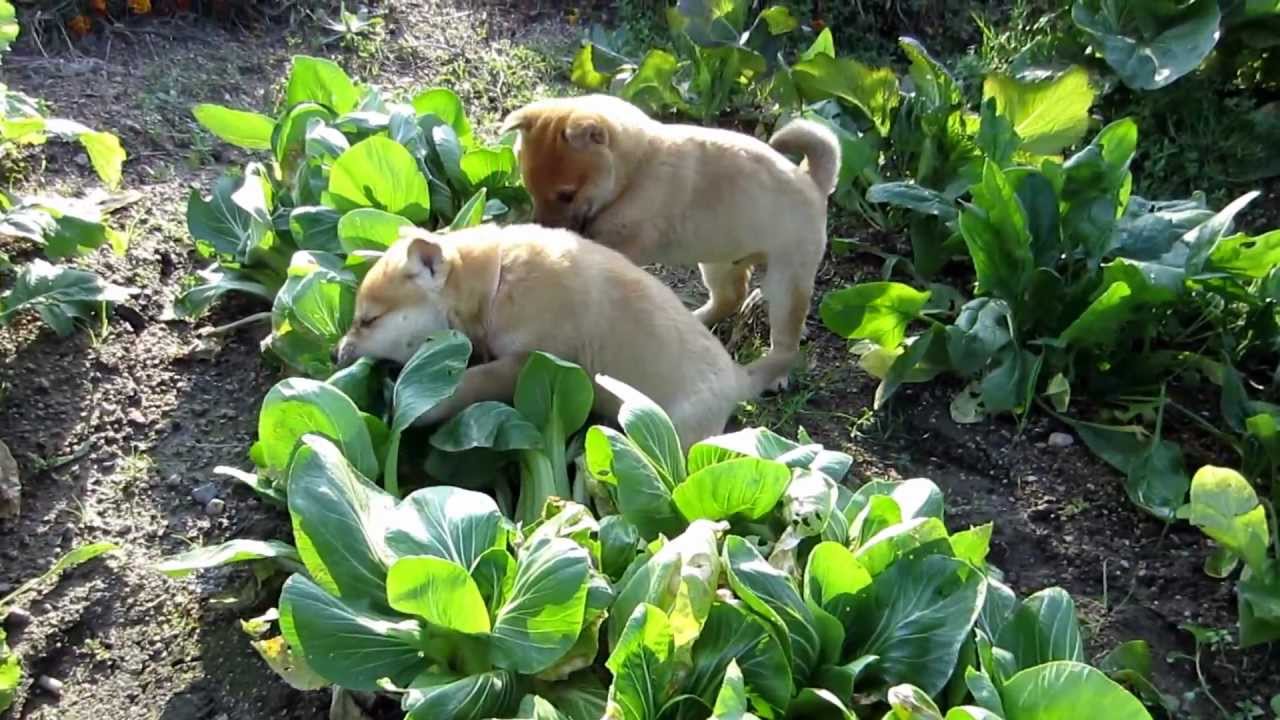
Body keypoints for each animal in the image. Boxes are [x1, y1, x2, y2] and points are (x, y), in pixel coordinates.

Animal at [332, 222, 768, 443]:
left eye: (368, 320)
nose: (337, 354)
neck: (496, 280)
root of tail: (739, 380)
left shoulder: (524, 362)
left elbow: (471, 382)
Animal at [499, 94, 839, 389]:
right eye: (530, 190)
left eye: (566, 195)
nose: (543, 227)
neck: (636, 173)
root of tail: (813, 181)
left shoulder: (623, 242)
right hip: (717, 260)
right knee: (730, 297)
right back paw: (697, 319)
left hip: (786, 279)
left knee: (785, 336)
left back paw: (777, 373)